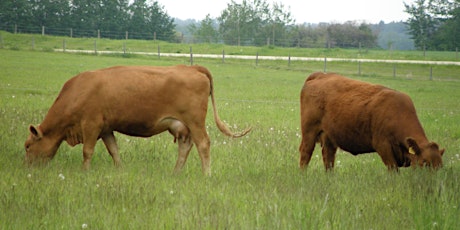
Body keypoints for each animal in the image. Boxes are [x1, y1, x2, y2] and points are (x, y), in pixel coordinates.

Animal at [23, 63, 250, 175]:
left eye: (27, 146)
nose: (28, 167)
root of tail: (192, 67)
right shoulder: (106, 129)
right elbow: (114, 150)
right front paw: (120, 170)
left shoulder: (91, 125)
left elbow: (87, 151)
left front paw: (84, 172)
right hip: (182, 126)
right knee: (185, 148)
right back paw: (175, 173)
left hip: (195, 122)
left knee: (203, 145)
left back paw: (206, 174)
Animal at [300, 72, 444, 171]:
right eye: (424, 162)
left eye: (440, 165)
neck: (398, 113)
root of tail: (320, 75)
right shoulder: (383, 146)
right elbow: (393, 169)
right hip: (309, 132)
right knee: (305, 153)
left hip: (329, 137)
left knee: (328, 158)